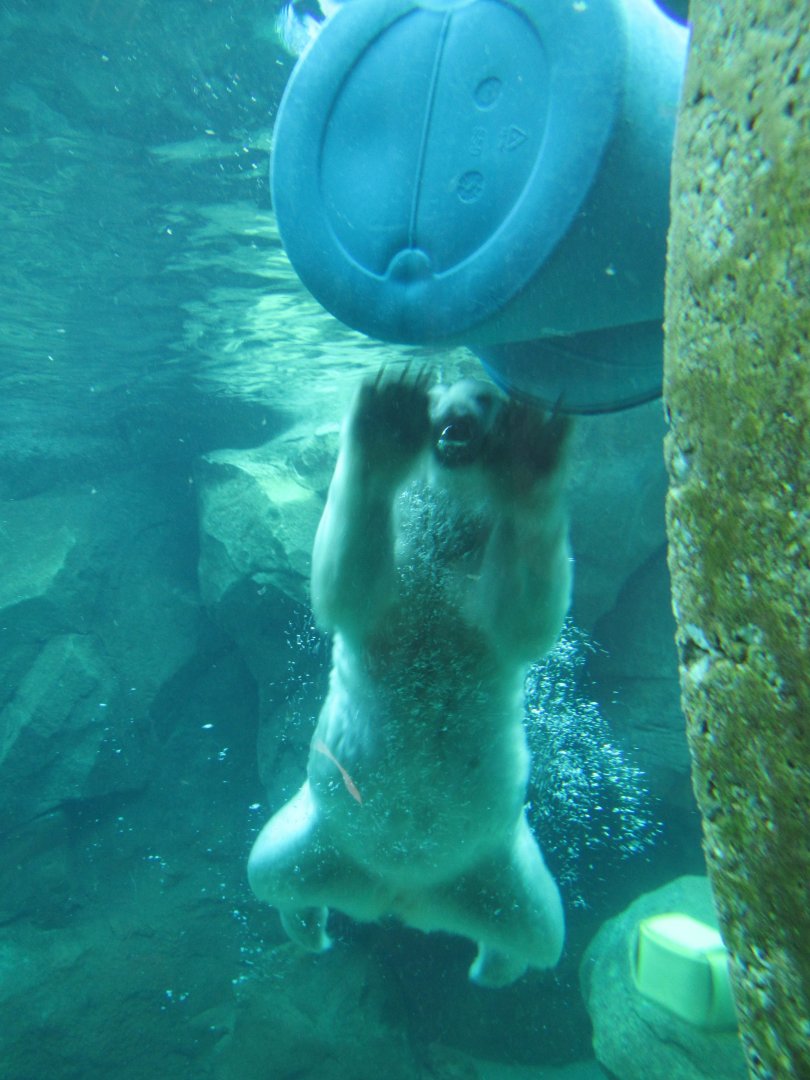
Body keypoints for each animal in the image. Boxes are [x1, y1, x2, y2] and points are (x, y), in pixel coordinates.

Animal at [248, 372, 572, 987]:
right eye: (440, 397)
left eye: (490, 400)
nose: (462, 415)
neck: (447, 538)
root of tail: (404, 898)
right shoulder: (401, 576)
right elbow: (346, 585)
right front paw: (386, 413)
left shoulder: (478, 586)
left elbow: (523, 618)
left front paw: (535, 452)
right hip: (321, 833)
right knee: (268, 868)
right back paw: (308, 927)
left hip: (500, 861)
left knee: (542, 929)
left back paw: (492, 966)